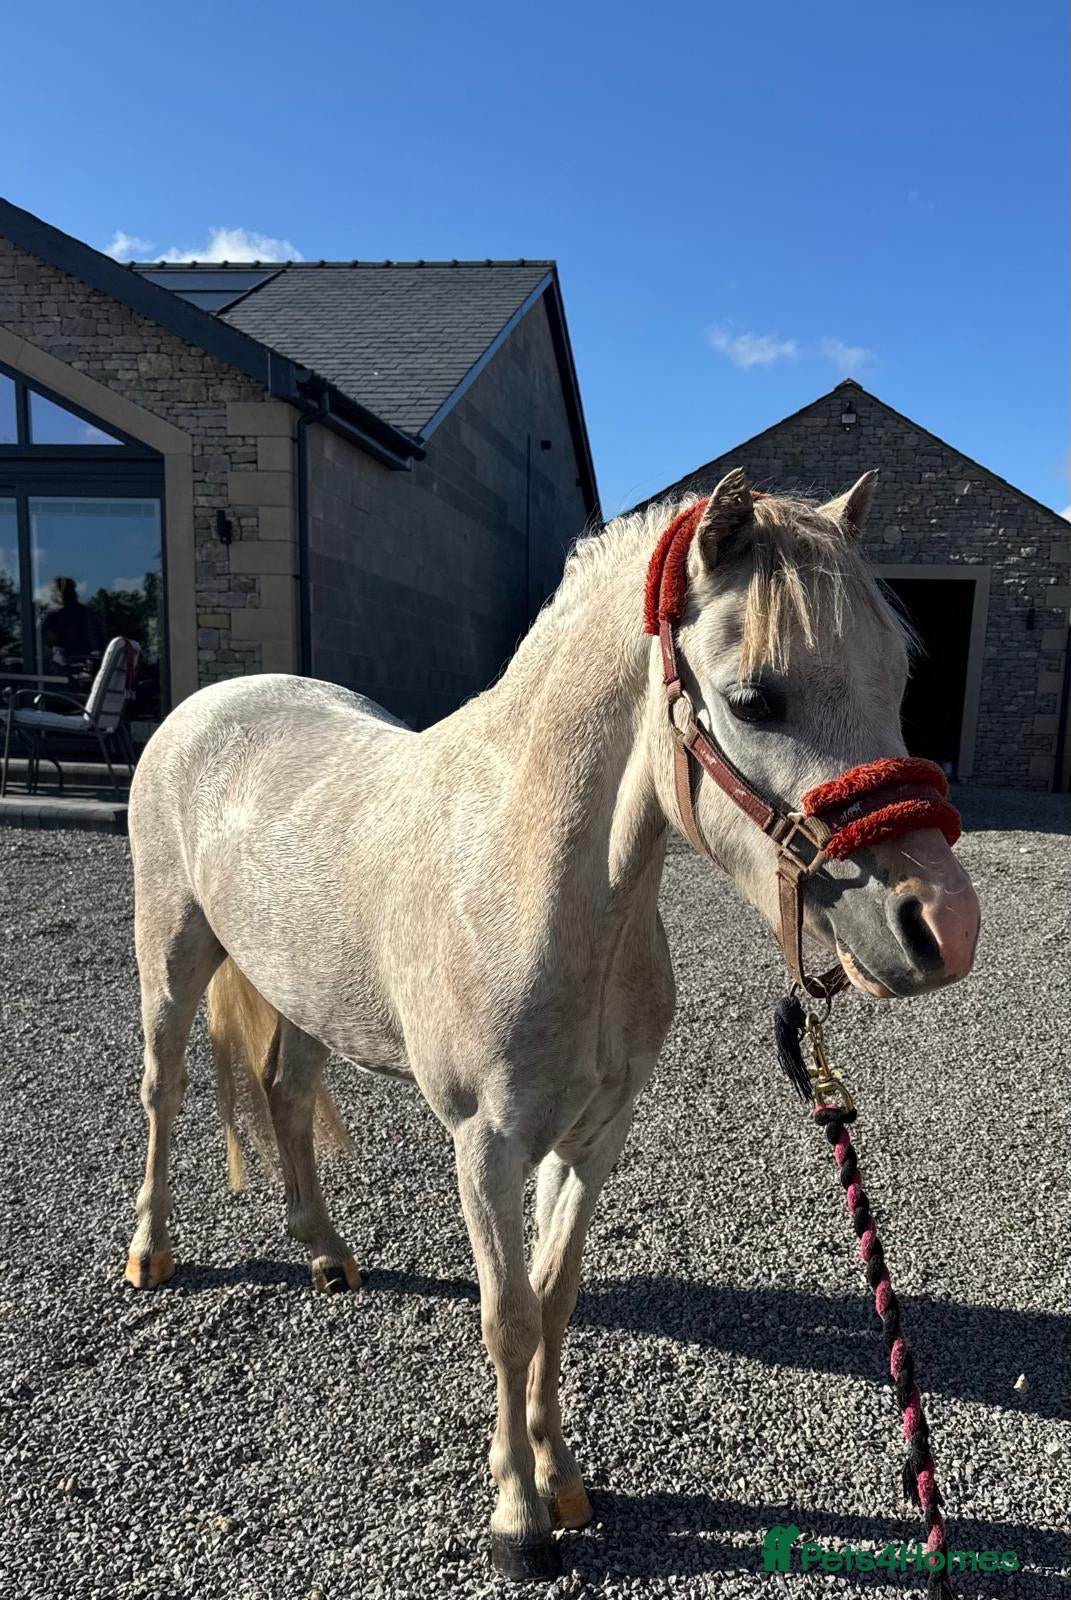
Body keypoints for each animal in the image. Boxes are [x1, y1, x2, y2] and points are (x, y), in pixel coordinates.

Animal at [123, 468, 980, 1580]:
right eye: (756, 697)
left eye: (897, 677)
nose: (944, 926)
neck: (533, 881)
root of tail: (213, 702)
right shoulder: (487, 1145)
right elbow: (509, 1316)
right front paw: (518, 1520)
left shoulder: (593, 1135)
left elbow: (556, 1296)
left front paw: (562, 1478)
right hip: (171, 957)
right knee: (166, 1090)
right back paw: (149, 1252)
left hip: (305, 988)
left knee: (287, 1093)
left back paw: (322, 1249)